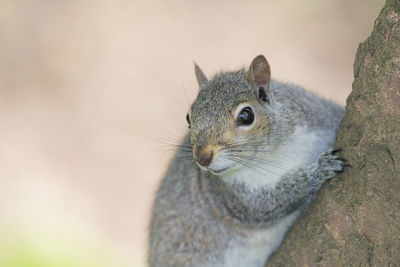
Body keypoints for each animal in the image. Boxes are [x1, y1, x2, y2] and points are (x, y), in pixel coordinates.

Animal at [148, 55, 346, 267]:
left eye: (246, 116)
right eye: (188, 118)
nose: (201, 157)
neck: (272, 154)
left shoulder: (318, 116)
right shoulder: (230, 195)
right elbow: (271, 202)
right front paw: (319, 170)